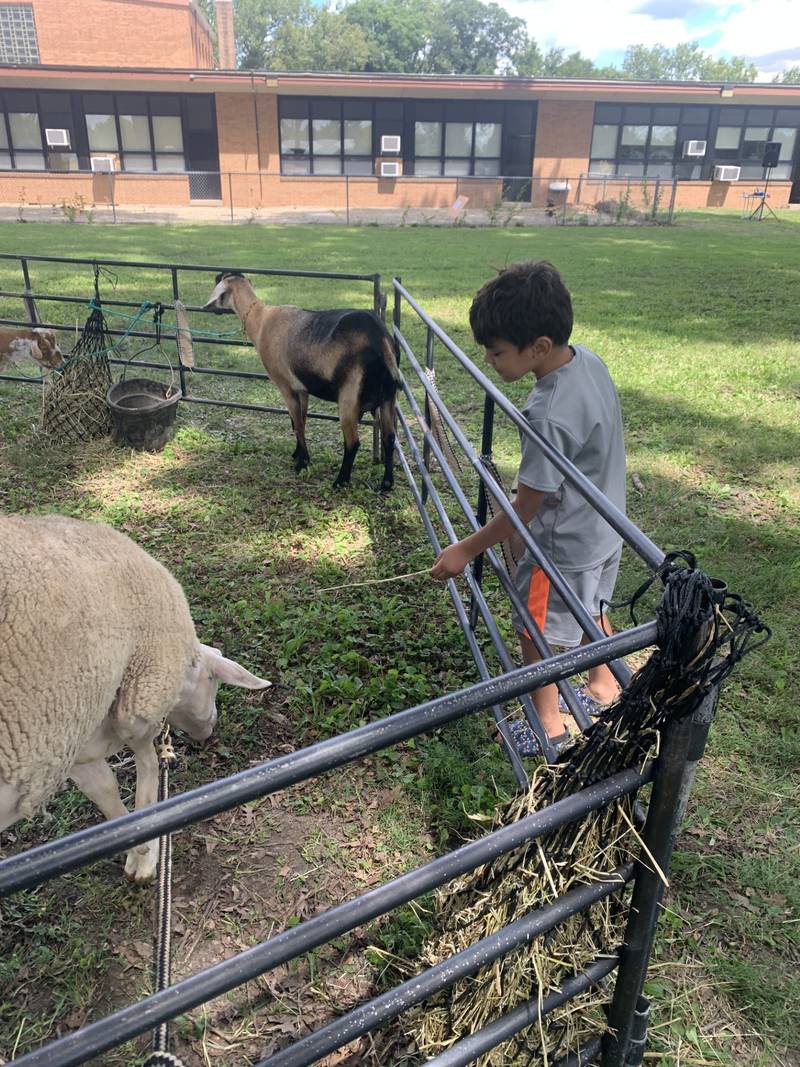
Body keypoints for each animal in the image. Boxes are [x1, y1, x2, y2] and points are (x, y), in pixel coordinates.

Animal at [0, 512, 273, 879]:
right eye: (214, 681)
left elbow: (105, 791)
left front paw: (134, 849)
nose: (211, 727)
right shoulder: (137, 700)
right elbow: (147, 767)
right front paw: (146, 851)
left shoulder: (66, 741)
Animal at [204, 275, 401, 490]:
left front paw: (302, 463)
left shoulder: (285, 385)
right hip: (388, 398)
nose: (209, 308)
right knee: (389, 438)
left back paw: (340, 481)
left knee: (353, 442)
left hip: (349, 397)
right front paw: (297, 453)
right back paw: (386, 483)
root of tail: (381, 340)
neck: (261, 320)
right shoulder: (302, 389)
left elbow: (297, 423)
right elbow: (301, 421)